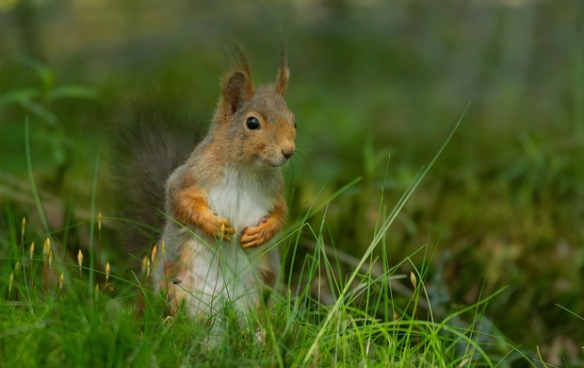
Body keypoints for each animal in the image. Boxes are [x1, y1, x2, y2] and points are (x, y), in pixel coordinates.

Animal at [113, 49, 296, 322]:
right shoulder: (190, 176)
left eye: (294, 121)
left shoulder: (275, 191)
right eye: (252, 123)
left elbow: (280, 214)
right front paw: (215, 226)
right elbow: (179, 200)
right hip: (177, 286)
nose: (288, 152)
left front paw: (261, 233)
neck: (245, 169)